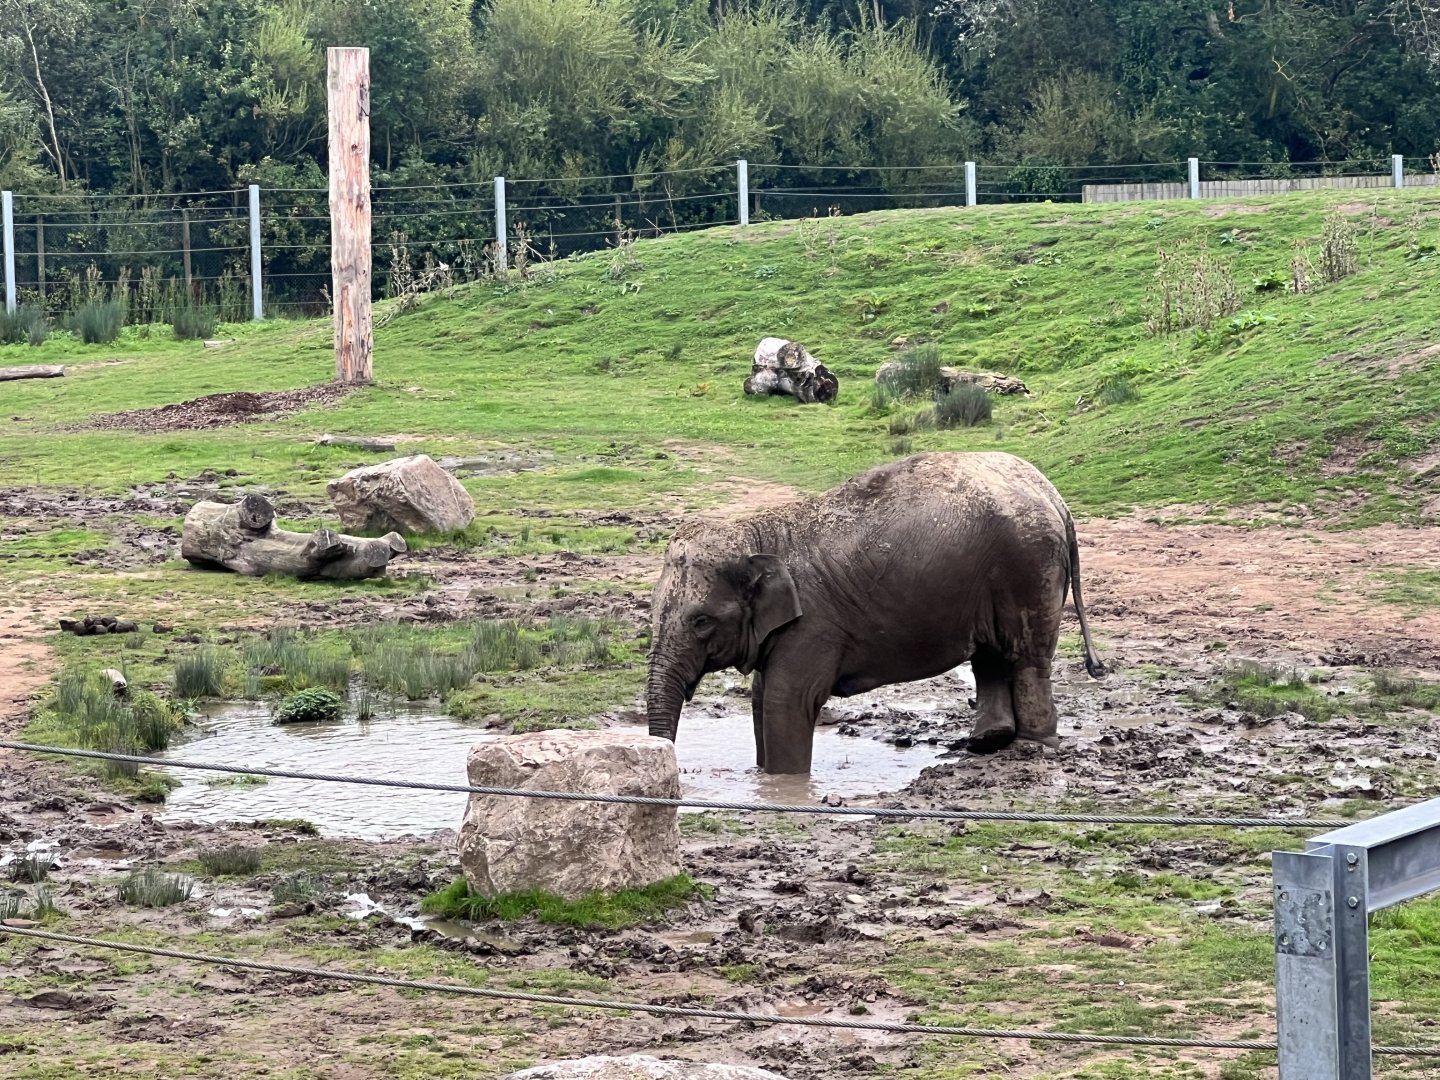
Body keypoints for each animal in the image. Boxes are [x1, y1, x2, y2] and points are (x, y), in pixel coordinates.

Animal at [644, 451, 1104, 774]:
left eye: (701, 622)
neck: (755, 533)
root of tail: (1055, 497)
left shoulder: (814, 625)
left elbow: (785, 700)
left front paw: (784, 784)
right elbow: (761, 697)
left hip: (1027, 567)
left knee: (1026, 656)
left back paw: (1030, 746)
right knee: (990, 654)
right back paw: (986, 743)